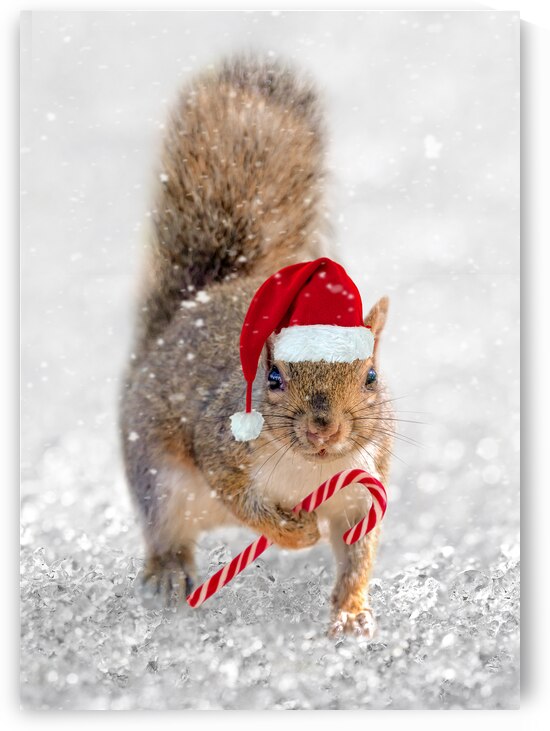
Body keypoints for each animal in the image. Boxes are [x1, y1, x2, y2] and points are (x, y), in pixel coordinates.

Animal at [120, 57, 391, 638]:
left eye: (371, 377)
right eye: (273, 377)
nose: (324, 428)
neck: (307, 471)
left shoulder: (364, 486)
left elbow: (358, 553)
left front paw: (351, 613)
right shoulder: (221, 451)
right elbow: (249, 505)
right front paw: (300, 533)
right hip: (160, 479)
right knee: (165, 531)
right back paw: (168, 573)